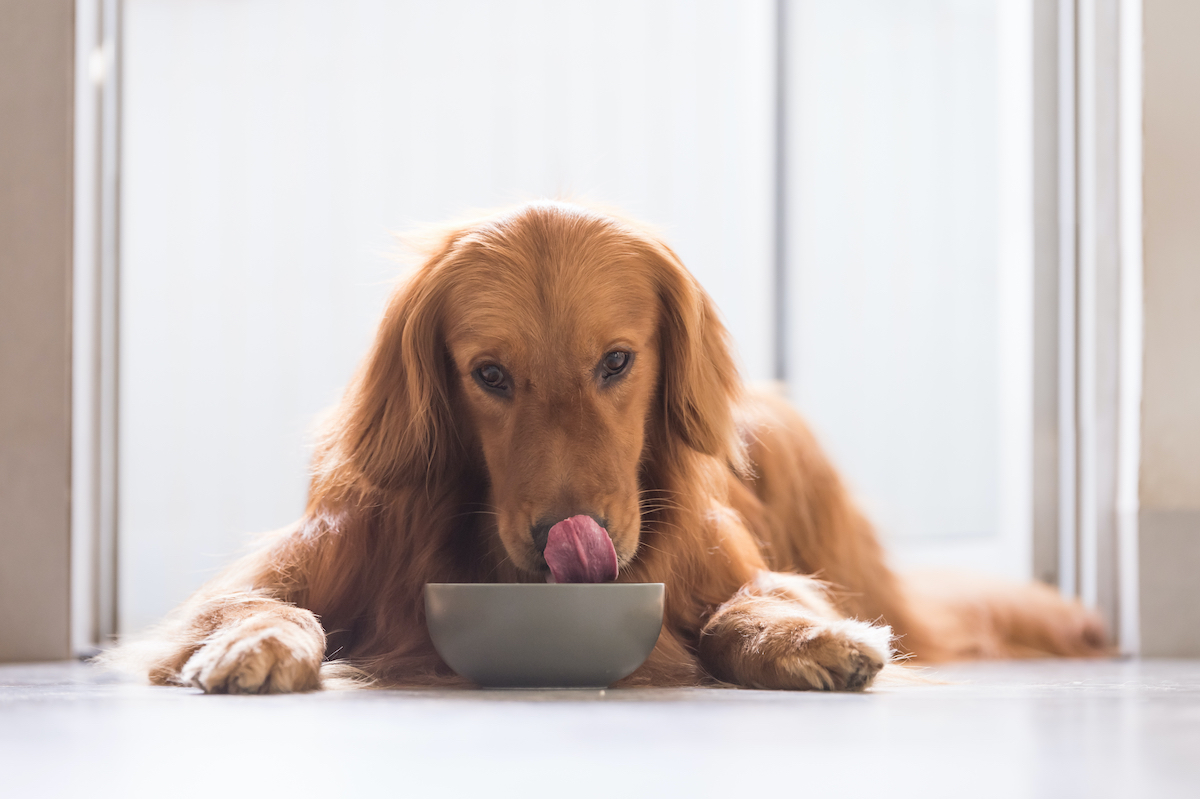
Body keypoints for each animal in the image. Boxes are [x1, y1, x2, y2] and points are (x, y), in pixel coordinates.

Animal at [117, 200, 1108, 691]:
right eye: (489, 374)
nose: (571, 537)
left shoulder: (723, 564)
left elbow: (747, 601)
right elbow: (256, 603)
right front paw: (256, 640)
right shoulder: (309, 555)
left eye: (618, 361)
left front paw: (800, 634)